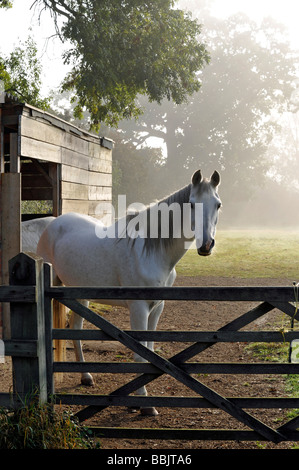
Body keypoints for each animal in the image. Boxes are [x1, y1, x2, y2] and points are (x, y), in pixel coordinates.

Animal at [37, 170, 220, 414]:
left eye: (218, 204)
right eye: (191, 203)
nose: (206, 245)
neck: (149, 252)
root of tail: (53, 223)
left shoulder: (157, 308)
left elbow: (149, 352)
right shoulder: (138, 309)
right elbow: (140, 355)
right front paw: (144, 404)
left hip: (79, 295)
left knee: (75, 329)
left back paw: (86, 376)